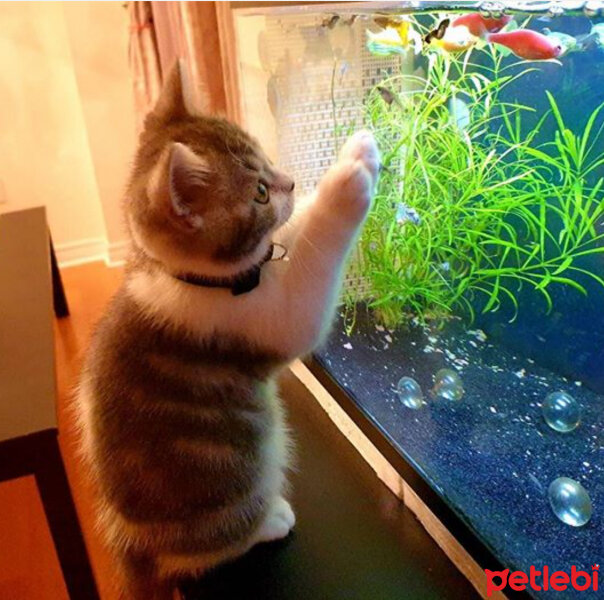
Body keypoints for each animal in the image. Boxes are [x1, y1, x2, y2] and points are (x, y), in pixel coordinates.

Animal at [75, 63, 378, 596]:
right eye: (258, 193)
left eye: (266, 159)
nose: (290, 181)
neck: (192, 280)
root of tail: (130, 540)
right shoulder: (258, 322)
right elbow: (309, 284)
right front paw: (348, 184)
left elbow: (295, 237)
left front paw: (355, 152)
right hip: (235, 477)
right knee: (205, 550)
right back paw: (269, 521)